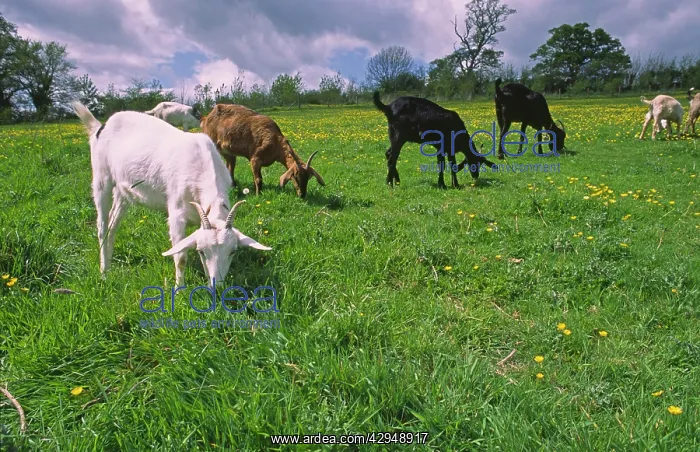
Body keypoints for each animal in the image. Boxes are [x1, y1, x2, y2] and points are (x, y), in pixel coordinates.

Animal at [71, 101, 271, 287]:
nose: (216, 285)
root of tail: (100, 127)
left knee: (113, 225)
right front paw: (178, 289)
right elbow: (180, 257)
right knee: (102, 226)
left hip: (123, 191)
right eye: (201, 251)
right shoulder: (176, 214)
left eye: (233, 251)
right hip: (102, 178)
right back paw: (104, 271)